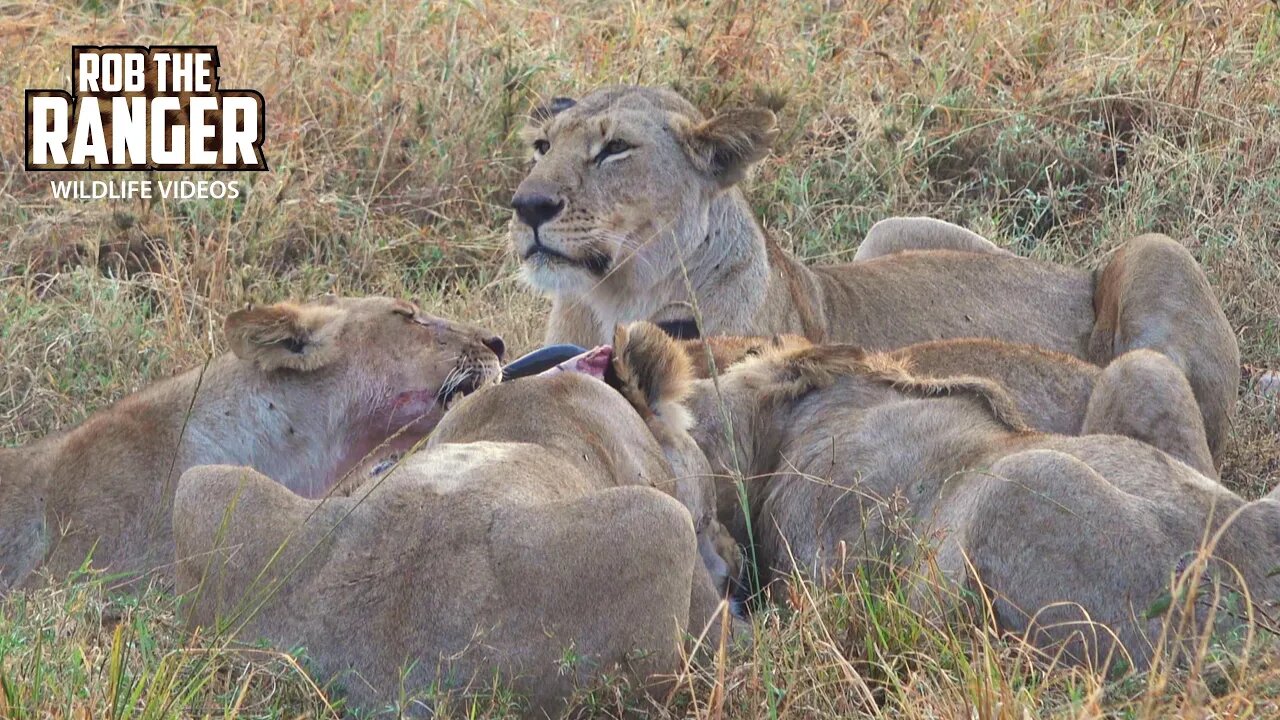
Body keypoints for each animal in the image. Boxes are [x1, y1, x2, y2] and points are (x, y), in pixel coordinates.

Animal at [509, 85, 1239, 466]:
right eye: (541, 147)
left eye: (615, 150)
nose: (527, 205)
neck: (612, 295)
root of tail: (1068, 270)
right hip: (891, 229)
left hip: (1155, 251)